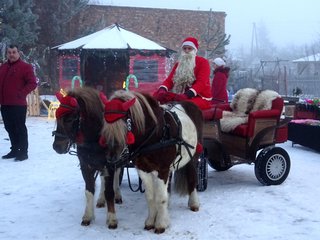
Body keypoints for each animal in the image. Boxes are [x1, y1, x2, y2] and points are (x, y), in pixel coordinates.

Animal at [52, 86, 122, 229]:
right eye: (56, 116)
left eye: (69, 119)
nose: (57, 147)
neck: (94, 138)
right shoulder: (86, 165)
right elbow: (89, 190)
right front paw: (88, 216)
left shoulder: (109, 164)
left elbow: (109, 192)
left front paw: (112, 219)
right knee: (102, 179)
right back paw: (100, 199)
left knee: (117, 175)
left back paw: (117, 194)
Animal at [101, 89, 204, 232]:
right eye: (105, 125)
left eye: (123, 124)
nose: (111, 159)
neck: (154, 135)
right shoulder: (143, 170)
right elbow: (150, 197)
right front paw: (151, 221)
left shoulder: (162, 170)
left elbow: (160, 197)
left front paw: (160, 224)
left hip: (193, 156)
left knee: (192, 176)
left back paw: (194, 202)